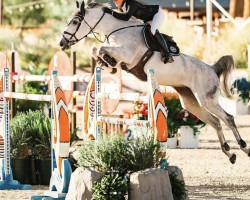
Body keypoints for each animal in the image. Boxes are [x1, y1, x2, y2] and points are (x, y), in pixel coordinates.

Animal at [59, 1, 249, 164]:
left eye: (75, 21)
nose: (62, 43)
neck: (116, 30)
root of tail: (212, 68)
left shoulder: (127, 55)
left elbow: (99, 48)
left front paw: (107, 61)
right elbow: (96, 50)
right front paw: (107, 64)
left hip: (206, 99)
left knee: (228, 118)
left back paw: (243, 147)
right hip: (191, 102)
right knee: (216, 122)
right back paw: (229, 153)